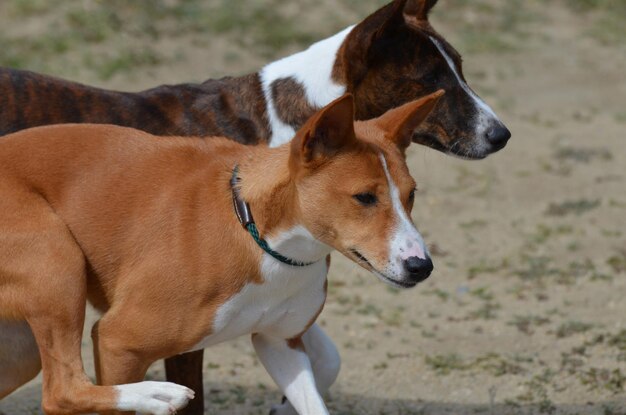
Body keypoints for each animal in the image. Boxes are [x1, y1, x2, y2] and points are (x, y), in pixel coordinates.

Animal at [0, 92, 438, 415]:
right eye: (364, 197)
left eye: (411, 194)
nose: (422, 266)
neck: (262, 241)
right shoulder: (117, 341)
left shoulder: (280, 342)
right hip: (57, 262)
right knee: (62, 390)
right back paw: (157, 394)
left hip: (20, 350)